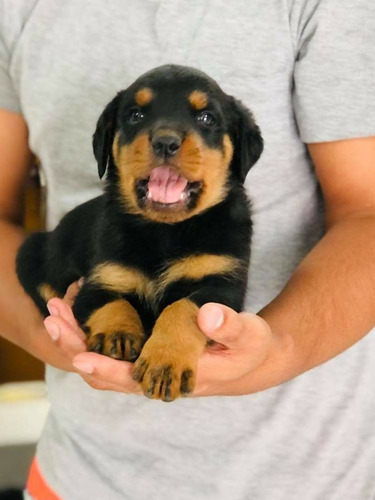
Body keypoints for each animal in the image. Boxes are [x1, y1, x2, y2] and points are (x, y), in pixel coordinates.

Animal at [16, 63, 264, 402]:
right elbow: (113, 302)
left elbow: (181, 308)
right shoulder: (100, 280)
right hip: (30, 249)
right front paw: (118, 333)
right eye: (135, 115)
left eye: (206, 118)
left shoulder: (222, 287)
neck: (165, 230)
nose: (165, 142)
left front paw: (165, 363)